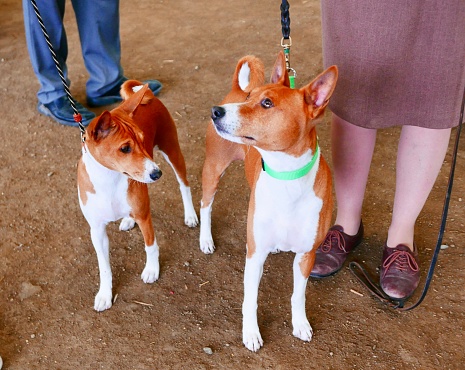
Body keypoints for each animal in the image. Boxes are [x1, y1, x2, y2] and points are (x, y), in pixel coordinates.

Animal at [78, 80, 198, 312]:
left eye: (143, 140)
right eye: (125, 148)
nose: (157, 173)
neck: (109, 180)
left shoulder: (144, 215)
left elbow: (150, 246)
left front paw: (152, 270)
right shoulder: (96, 230)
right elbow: (104, 266)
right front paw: (104, 295)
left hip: (173, 152)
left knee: (184, 186)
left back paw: (190, 215)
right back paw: (126, 220)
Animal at [199, 53, 338, 352]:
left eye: (267, 103)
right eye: (251, 97)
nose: (216, 111)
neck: (286, 177)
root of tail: (233, 90)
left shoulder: (306, 255)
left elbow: (298, 296)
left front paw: (300, 324)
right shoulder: (254, 254)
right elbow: (250, 300)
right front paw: (251, 333)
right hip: (213, 170)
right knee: (205, 206)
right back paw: (205, 239)